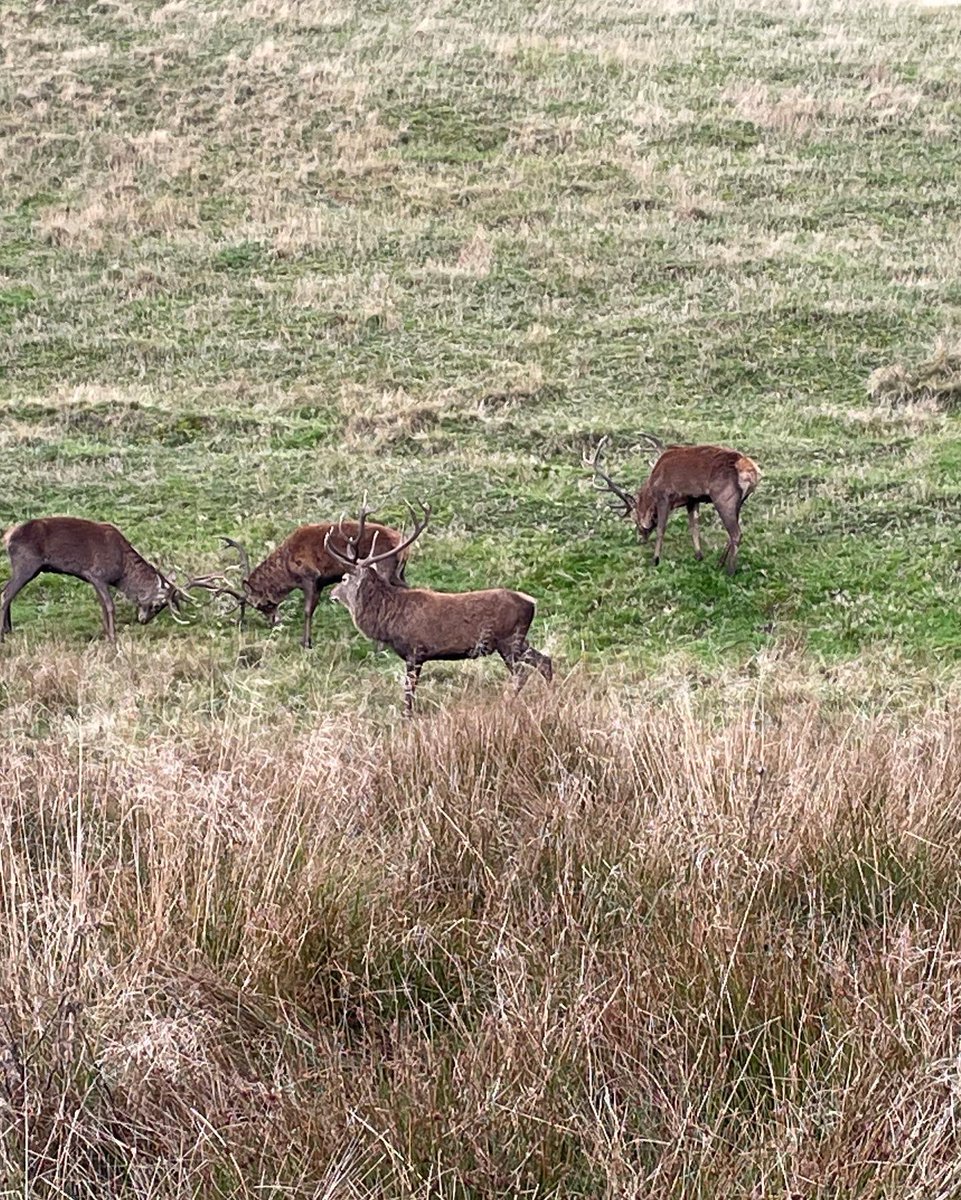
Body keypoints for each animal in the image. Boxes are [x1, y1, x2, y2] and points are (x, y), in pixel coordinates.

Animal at [1, 516, 190, 643]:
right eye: (158, 605)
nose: (143, 620)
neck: (121, 571)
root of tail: (8, 536)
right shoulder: (97, 574)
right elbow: (109, 606)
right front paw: (113, 638)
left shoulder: (93, 579)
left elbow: (102, 606)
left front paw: (106, 634)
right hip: (27, 565)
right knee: (6, 594)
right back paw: (3, 634)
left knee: (6, 591)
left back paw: (9, 630)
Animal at [186, 517, 410, 648]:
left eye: (260, 604)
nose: (273, 623)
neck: (288, 566)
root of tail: (404, 545)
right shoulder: (319, 583)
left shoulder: (310, 577)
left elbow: (307, 610)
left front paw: (306, 642)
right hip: (399, 573)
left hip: (384, 568)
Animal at [325, 502, 553, 716]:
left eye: (344, 579)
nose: (332, 595)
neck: (388, 619)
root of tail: (531, 602)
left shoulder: (415, 650)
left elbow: (408, 692)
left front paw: (406, 717)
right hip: (520, 641)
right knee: (545, 661)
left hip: (508, 641)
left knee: (522, 675)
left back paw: (507, 703)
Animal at [586, 434, 760, 574]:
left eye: (635, 518)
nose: (640, 538)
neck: (652, 486)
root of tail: (752, 471)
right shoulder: (692, 499)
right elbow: (694, 527)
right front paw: (698, 555)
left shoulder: (664, 496)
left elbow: (661, 529)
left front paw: (655, 560)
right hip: (739, 501)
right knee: (733, 532)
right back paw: (719, 563)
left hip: (723, 498)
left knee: (736, 533)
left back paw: (730, 571)